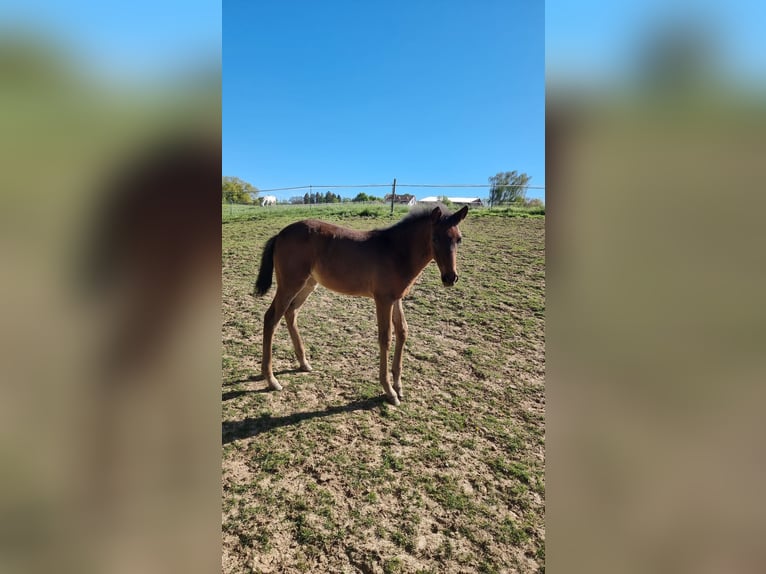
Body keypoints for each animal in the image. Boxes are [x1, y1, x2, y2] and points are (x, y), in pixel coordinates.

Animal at [253, 204, 468, 406]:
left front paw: (398, 386)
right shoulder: (383, 299)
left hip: (308, 284)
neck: (396, 251)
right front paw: (389, 391)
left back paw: (303, 363)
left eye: (459, 239)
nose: (450, 278)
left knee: (291, 312)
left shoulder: (396, 298)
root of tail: (280, 234)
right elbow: (386, 338)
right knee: (271, 318)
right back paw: (271, 380)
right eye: (435, 238)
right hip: (290, 284)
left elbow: (402, 332)